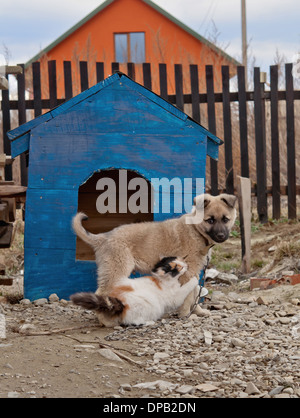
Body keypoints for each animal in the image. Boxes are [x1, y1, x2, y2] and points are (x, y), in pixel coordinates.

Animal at [69, 256, 198, 328]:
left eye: (180, 261)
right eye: (177, 267)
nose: (185, 265)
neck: (163, 280)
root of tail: (119, 301)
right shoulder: (175, 297)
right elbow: (187, 286)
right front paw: (195, 279)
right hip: (148, 305)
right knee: (134, 322)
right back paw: (150, 322)